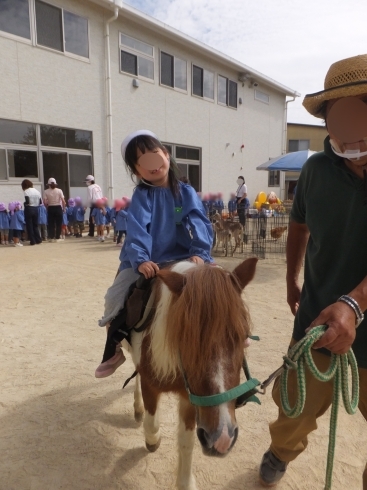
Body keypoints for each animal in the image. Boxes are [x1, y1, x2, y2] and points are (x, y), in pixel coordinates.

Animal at [126, 258, 258, 488]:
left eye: (243, 336)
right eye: (185, 338)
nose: (222, 439)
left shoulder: (191, 398)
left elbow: (187, 443)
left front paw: (185, 482)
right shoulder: (150, 385)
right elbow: (152, 424)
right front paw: (153, 441)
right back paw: (138, 408)